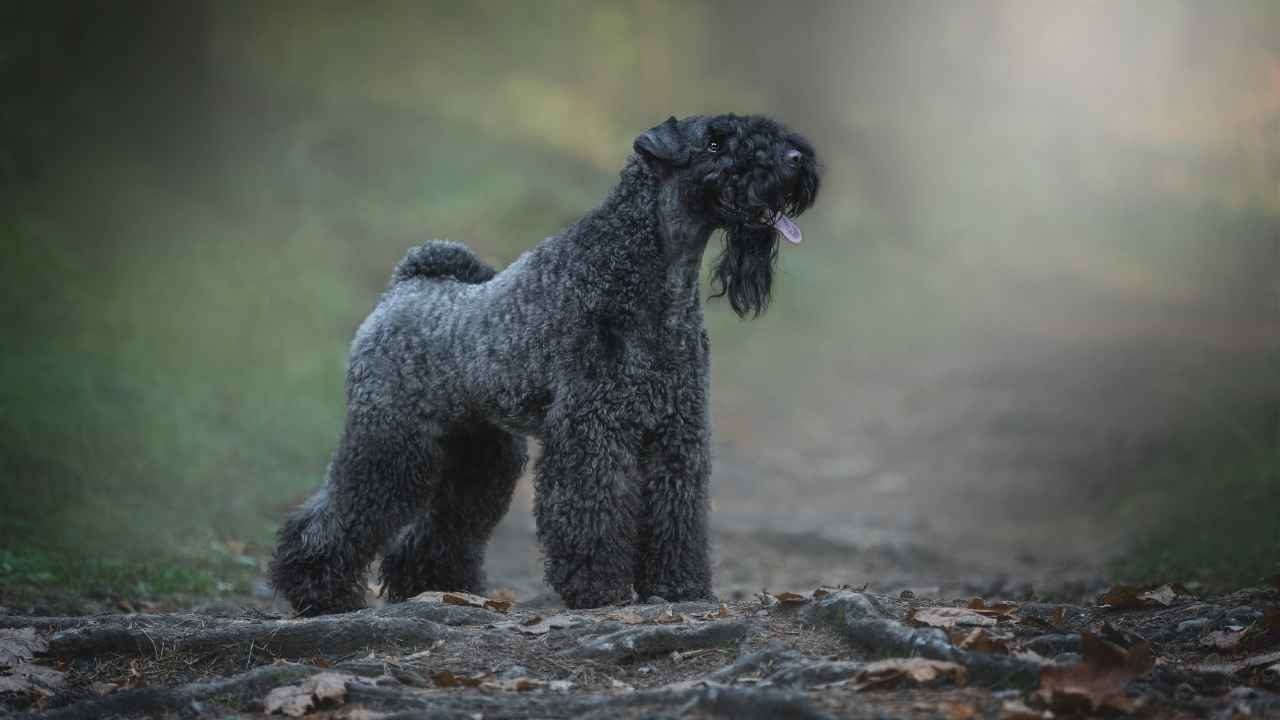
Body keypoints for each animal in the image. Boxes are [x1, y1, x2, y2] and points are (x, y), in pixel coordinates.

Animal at [275, 112, 824, 609]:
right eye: (714, 142)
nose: (796, 159)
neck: (649, 275)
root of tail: (404, 287)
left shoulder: (677, 428)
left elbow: (678, 510)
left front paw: (678, 586)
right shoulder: (593, 428)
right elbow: (592, 508)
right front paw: (600, 589)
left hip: (481, 455)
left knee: (442, 526)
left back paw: (436, 586)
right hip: (388, 440)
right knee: (337, 514)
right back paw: (319, 591)